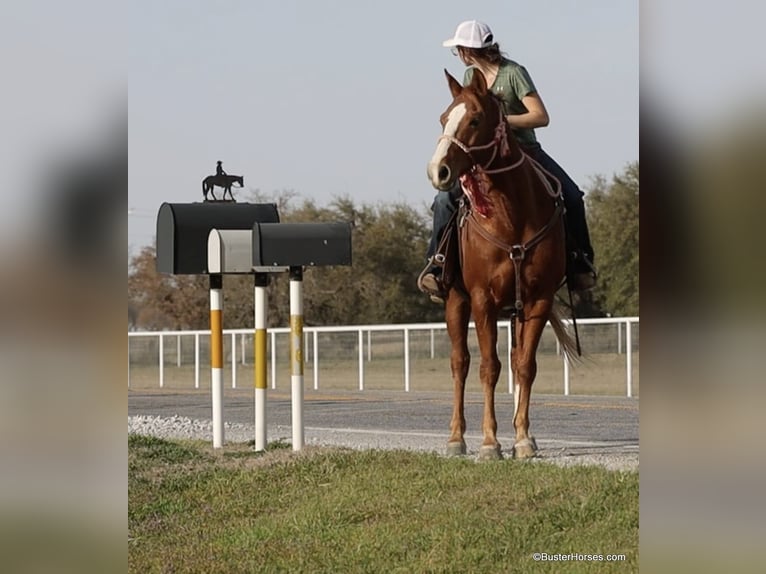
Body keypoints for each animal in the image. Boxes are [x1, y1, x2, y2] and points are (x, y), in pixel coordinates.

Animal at [426, 69, 579, 460]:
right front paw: (489, 442)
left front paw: (522, 438)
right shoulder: (483, 300)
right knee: (460, 362)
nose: (438, 171)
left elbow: (524, 366)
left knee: (513, 357)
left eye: (475, 119)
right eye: (442, 118)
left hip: (516, 309)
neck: (512, 216)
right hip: (456, 300)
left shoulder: (538, 300)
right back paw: (456, 438)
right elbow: (488, 367)